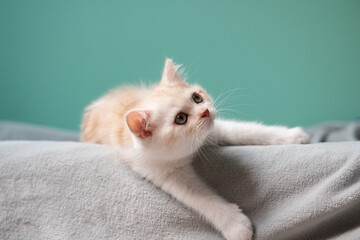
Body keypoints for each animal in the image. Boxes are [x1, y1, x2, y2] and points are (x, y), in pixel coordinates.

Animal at [80, 58, 308, 240]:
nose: (205, 111)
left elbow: (247, 131)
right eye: (180, 118)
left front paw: (292, 136)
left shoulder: (215, 131)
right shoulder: (161, 172)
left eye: (196, 97)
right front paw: (236, 226)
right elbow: (199, 197)